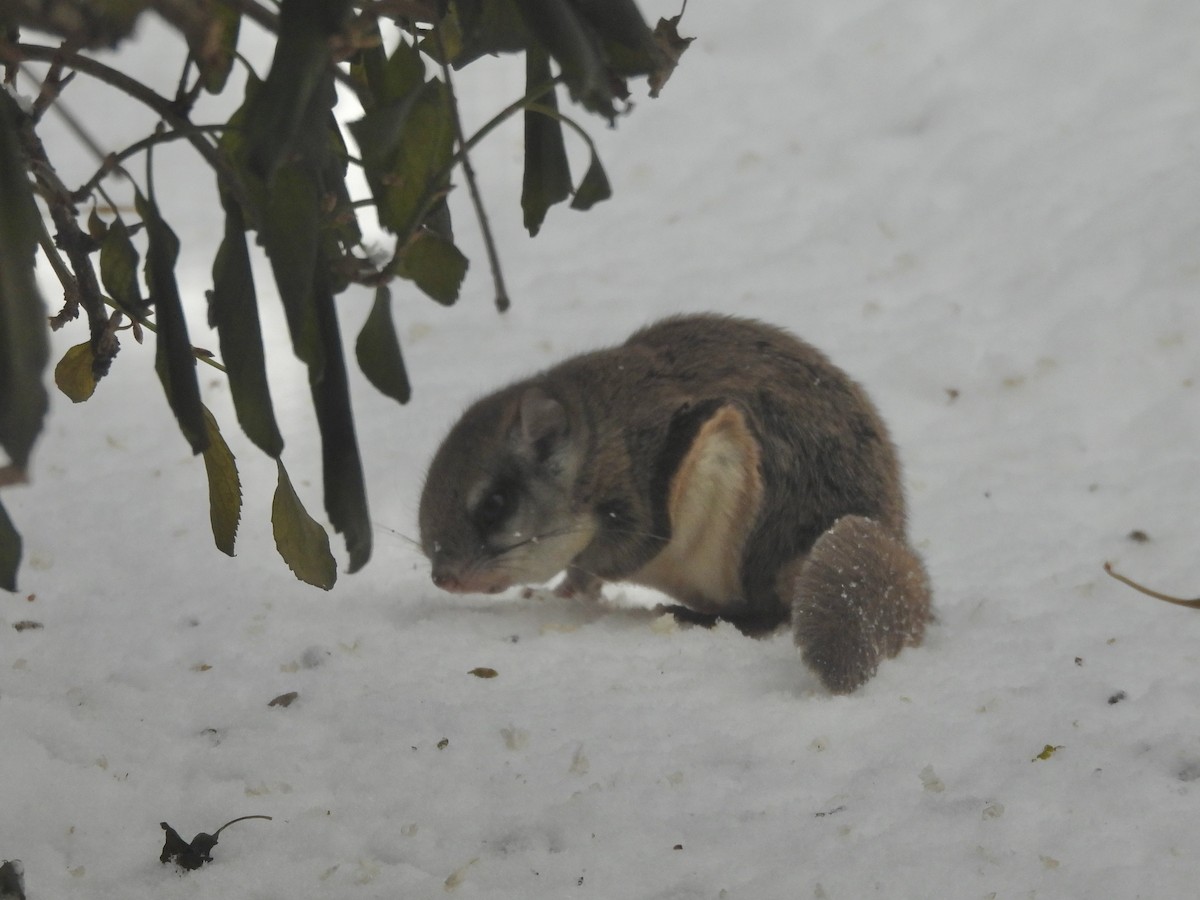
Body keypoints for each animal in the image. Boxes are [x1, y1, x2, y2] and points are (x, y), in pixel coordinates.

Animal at [418, 314, 932, 693]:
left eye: (495, 504)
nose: (443, 578)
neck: (597, 440)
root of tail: (885, 531)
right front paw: (561, 590)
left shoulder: (634, 500)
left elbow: (609, 555)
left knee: (767, 612)